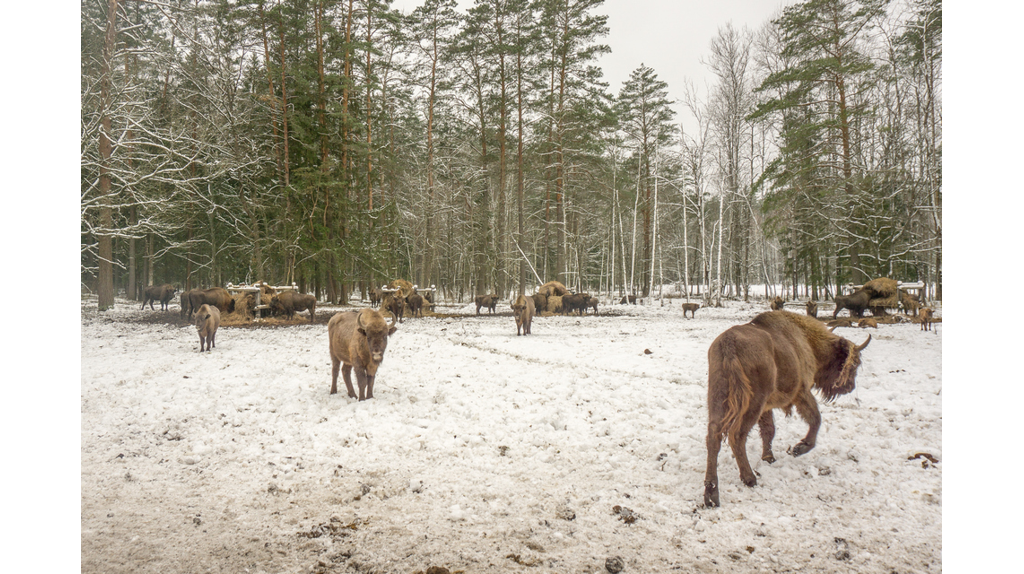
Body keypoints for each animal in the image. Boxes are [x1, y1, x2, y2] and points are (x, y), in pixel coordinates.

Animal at [704, 311, 872, 503]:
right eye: (853, 364)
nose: (850, 386)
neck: (808, 341)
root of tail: (729, 343)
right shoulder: (801, 392)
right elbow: (815, 418)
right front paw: (799, 449)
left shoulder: (767, 408)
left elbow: (769, 431)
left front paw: (769, 458)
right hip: (753, 402)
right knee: (736, 435)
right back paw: (749, 478)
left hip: (719, 399)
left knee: (713, 436)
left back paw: (711, 493)